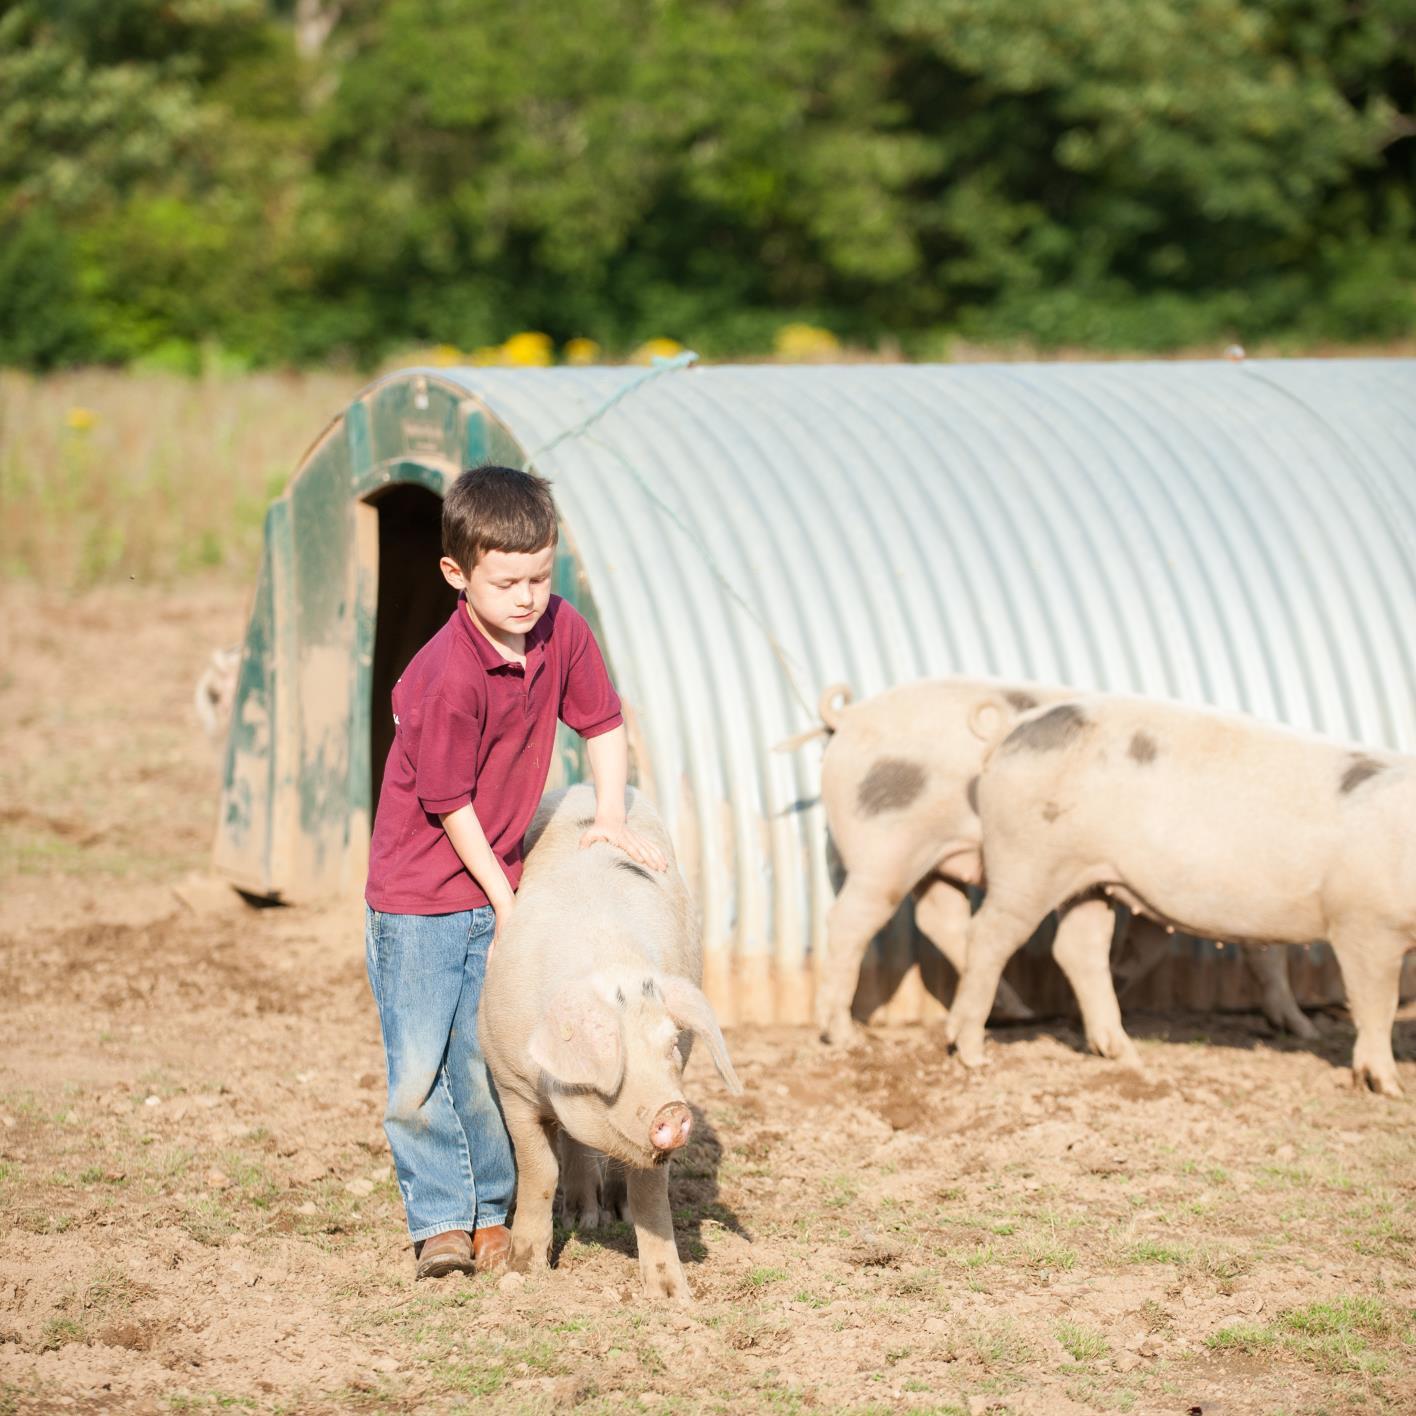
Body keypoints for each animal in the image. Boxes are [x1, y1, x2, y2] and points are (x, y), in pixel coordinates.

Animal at [478, 784, 742, 1299]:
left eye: (671, 1044)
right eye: (605, 1054)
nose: (672, 1111)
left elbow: (652, 1191)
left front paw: (672, 1296)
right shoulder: (510, 1082)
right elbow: (539, 1170)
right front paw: (523, 1272)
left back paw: (610, 1213)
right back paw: (582, 1218)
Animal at [947, 696, 1415, 1096]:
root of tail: (1017, 728)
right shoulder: (1366, 922)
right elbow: (1378, 1004)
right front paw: (1390, 1089)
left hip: (1088, 878)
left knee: (1078, 949)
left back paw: (1124, 1054)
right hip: (1027, 864)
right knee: (987, 936)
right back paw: (972, 1055)